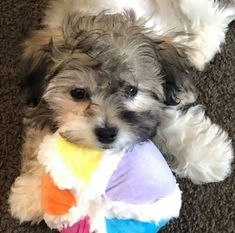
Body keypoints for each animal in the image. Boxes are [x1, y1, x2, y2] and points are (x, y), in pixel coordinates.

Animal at [8, 0, 234, 224]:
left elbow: (173, 126)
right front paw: (31, 193)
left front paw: (208, 155)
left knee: (210, 18)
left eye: (131, 91)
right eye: (78, 93)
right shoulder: (40, 106)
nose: (107, 133)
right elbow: (39, 142)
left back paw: (198, 51)